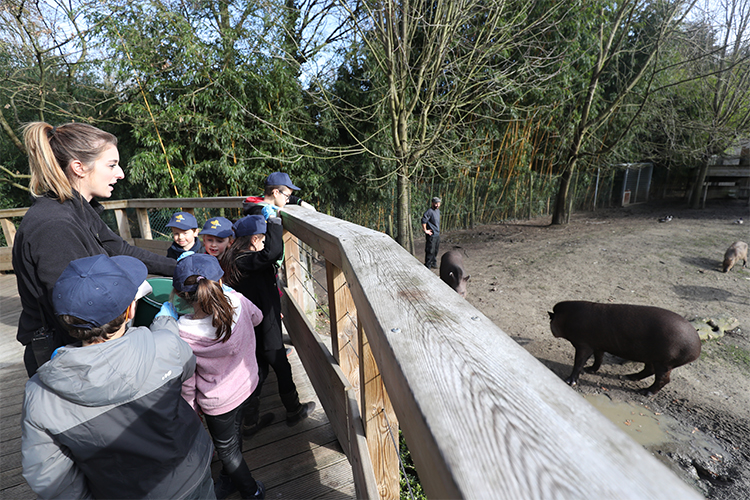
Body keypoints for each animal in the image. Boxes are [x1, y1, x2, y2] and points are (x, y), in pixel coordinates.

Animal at [548, 300, 704, 394]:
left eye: (551, 320)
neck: (566, 317)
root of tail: (698, 346)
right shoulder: (598, 345)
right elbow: (598, 359)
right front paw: (590, 370)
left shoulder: (583, 345)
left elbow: (578, 363)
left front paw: (569, 381)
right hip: (651, 358)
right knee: (649, 370)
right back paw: (628, 377)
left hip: (664, 363)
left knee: (663, 379)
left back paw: (644, 392)